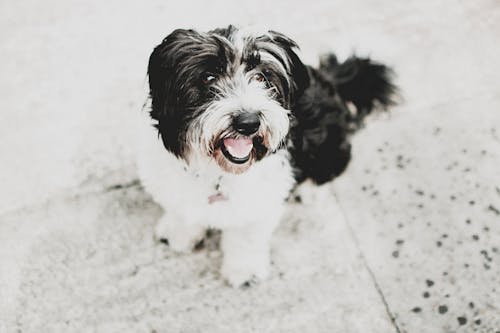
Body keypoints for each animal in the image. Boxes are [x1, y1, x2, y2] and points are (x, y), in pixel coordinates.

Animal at [136, 25, 394, 286]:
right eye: (208, 77)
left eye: (261, 77)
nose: (248, 122)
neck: (218, 172)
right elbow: (181, 209)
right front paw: (178, 233)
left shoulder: (260, 203)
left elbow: (246, 237)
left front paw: (243, 270)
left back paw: (310, 190)